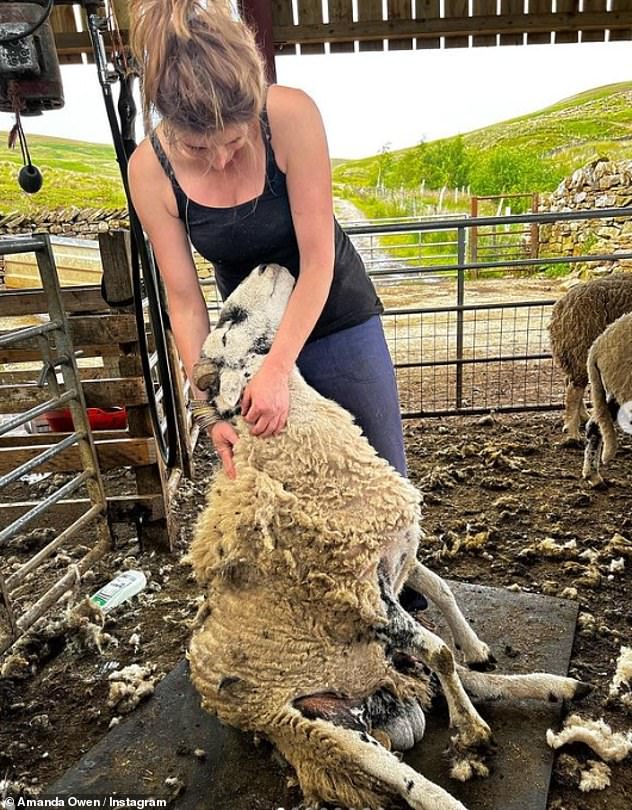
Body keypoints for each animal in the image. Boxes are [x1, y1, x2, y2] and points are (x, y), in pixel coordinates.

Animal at [185, 264, 592, 808]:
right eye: (231, 317)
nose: (269, 265)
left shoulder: (395, 558)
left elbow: (442, 597)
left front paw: (475, 647)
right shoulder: (367, 598)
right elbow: (439, 650)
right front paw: (472, 730)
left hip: (385, 665)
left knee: (463, 680)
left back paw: (553, 687)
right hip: (316, 723)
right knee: (400, 776)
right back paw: (454, 777)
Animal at [548, 274, 632, 446]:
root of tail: (560, 307)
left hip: (573, 354)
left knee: (570, 382)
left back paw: (583, 418)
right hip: (582, 347)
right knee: (574, 390)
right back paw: (572, 434)